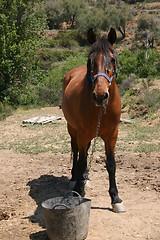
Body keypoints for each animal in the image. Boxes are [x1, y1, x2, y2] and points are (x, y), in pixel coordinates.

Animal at [62, 27, 125, 212]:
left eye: (112, 59)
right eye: (90, 60)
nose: (100, 95)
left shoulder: (112, 135)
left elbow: (111, 164)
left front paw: (116, 198)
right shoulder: (82, 133)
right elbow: (82, 160)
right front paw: (77, 191)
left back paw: (85, 178)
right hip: (72, 129)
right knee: (76, 151)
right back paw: (75, 179)